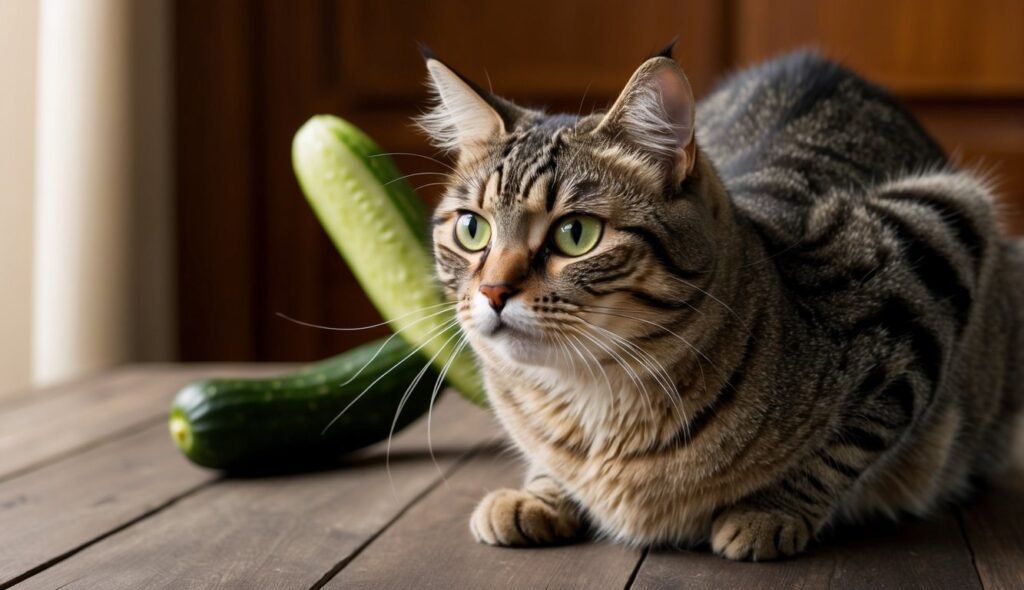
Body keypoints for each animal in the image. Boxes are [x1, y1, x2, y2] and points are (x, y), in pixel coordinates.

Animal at [415, 43, 1024, 561]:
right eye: (472, 229)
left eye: (575, 234)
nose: (493, 291)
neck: (593, 403)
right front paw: (540, 493)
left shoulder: (933, 238)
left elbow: (849, 441)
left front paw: (768, 512)